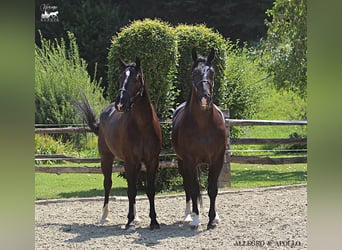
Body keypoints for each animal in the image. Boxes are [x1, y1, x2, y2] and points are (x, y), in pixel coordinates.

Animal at [75, 57, 162, 229]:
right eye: (121, 77)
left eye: (136, 78)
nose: (120, 104)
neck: (143, 126)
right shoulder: (129, 161)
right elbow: (130, 191)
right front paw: (128, 221)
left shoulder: (152, 161)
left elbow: (149, 190)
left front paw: (153, 221)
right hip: (106, 158)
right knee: (108, 184)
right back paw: (104, 216)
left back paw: (136, 217)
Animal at [172, 47, 226, 229]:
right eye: (194, 73)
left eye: (212, 72)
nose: (204, 97)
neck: (203, 125)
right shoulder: (189, 161)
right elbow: (194, 188)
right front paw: (196, 219)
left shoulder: (217, 160)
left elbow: (212, 189)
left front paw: (212, 219)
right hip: (182, 163)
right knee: (188, 187)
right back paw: (189, 215)